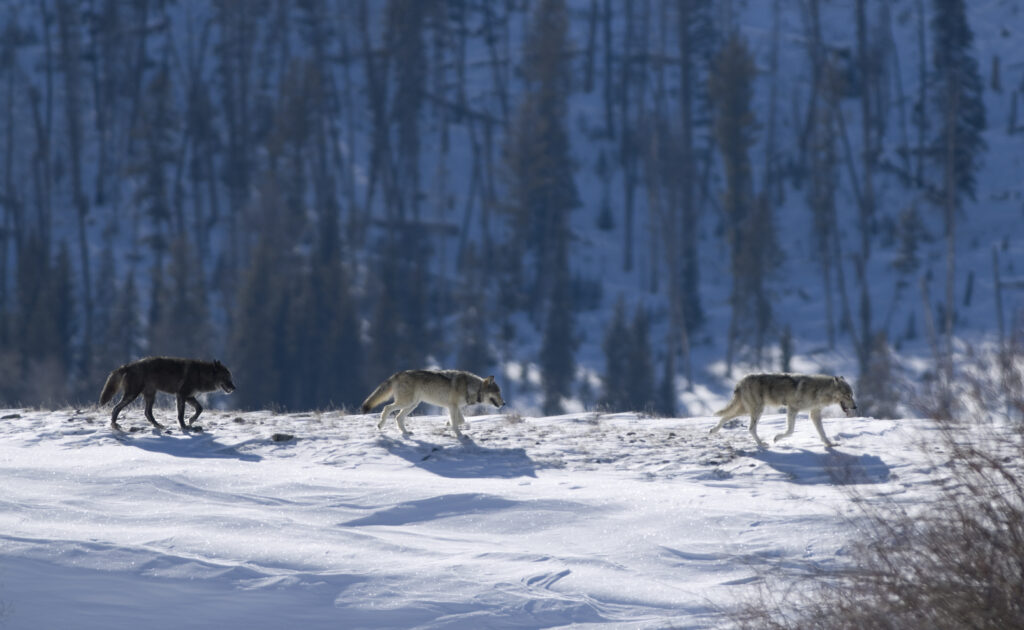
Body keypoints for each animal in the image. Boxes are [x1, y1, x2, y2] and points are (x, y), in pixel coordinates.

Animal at [99, 357, 236, 432]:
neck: (200, 374)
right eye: (226, 378)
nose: (234, 388)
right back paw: (115, 425)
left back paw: (159, 426)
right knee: (116, 408)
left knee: (147, 413)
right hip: (132, 395)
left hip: (150, 396)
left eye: (231, 378)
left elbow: (200, 409)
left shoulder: (189, 396)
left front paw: (191, 421)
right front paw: (185, 427)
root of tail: (127, 366)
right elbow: (181, 415)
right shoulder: (181, 395)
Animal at [360, 369, 505, 438]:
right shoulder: (453, 406)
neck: (471, 387)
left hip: (412, 405)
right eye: (497, 392)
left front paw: (448, 424)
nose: (504, 403)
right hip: (406, 403)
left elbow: (461, 420)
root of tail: (397, 374)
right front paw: (459, 435)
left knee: (398, 417)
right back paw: (380, 425)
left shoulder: (454, 407)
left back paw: (406, 433)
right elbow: (457, 423)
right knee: (387, 408)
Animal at [708, 373, 857, 448]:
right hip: (757, 410)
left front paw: (829, 444)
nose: (855, 407)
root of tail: (740, 381)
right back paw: (761, 444)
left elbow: (823, 433)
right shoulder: (792, 409)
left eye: (852, 395)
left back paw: (713, 431)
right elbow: (790, 431)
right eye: (847, 395)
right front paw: (776, 438)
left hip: (745, 410)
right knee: (750, 428)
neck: (819, 391)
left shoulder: (814, 414)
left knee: (725, 417)